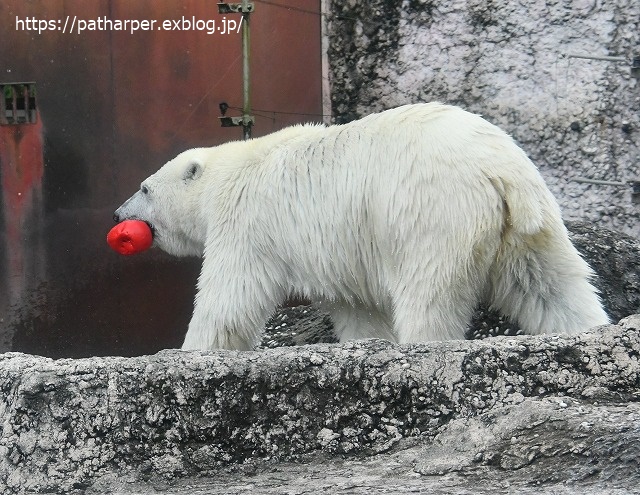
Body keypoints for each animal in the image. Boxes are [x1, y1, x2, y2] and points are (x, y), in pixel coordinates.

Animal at [115, 103, 608, 352]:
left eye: (144, 188)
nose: (119, 216)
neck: (233, 169)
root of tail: (499, 170)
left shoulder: (248, 221)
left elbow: (230, 296)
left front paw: (189, 351)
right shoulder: (337, 250)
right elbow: (357, 308)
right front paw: (369, 341)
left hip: (430, 213)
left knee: (429, 292)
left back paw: (423, 343)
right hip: (530, 224)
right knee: (548, 285)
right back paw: (587, 328)